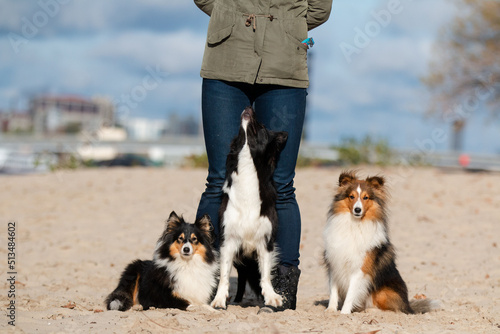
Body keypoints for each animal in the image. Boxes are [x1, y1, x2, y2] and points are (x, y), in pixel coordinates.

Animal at [211, 106, 290, 308]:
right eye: (239, 135)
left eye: (261, 127)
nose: (248, 108)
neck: (248, 168)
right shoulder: (228, 240)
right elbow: (224, 275)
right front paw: (219, 299)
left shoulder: (265, 241)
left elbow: (266, 275)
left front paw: (271, 297)